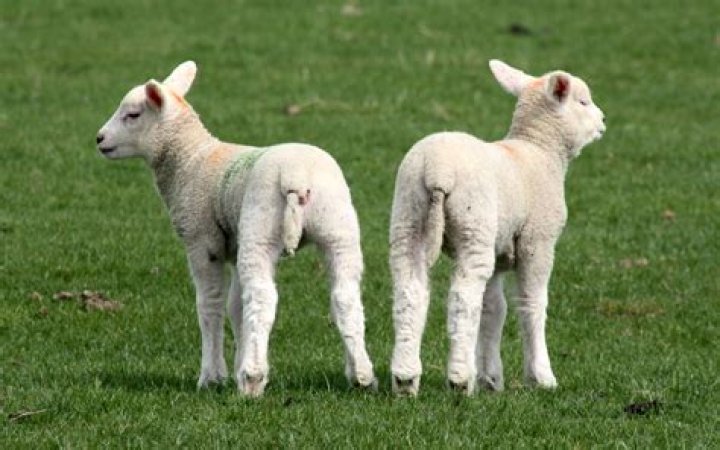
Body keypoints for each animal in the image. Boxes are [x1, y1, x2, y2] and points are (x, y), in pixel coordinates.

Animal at [95, 61, 376, 397]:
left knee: (263, 297)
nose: (99, 139)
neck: (190, 160)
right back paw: (361, 374)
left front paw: (212, 376)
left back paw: (252, 379)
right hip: (338, 229)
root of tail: (297, 177)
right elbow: (236, 308)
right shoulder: (236, 246)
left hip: (260, 229)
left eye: (133, 115)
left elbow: (210, 304)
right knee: (345, 297)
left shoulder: (202, 240)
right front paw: (235, 362)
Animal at [389, 59, 606, 396]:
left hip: (408, 217)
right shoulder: (537, 241)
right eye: (583, 102)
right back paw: (460, 379)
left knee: (409, 292)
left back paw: (405, 378)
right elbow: (532, 303)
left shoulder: (499, 251)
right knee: (463, 297)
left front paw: (491, 377)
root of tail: (436, 170)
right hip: (473, 225)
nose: (603, 120)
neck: (539, 150)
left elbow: (493, 309)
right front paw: (541, 376)